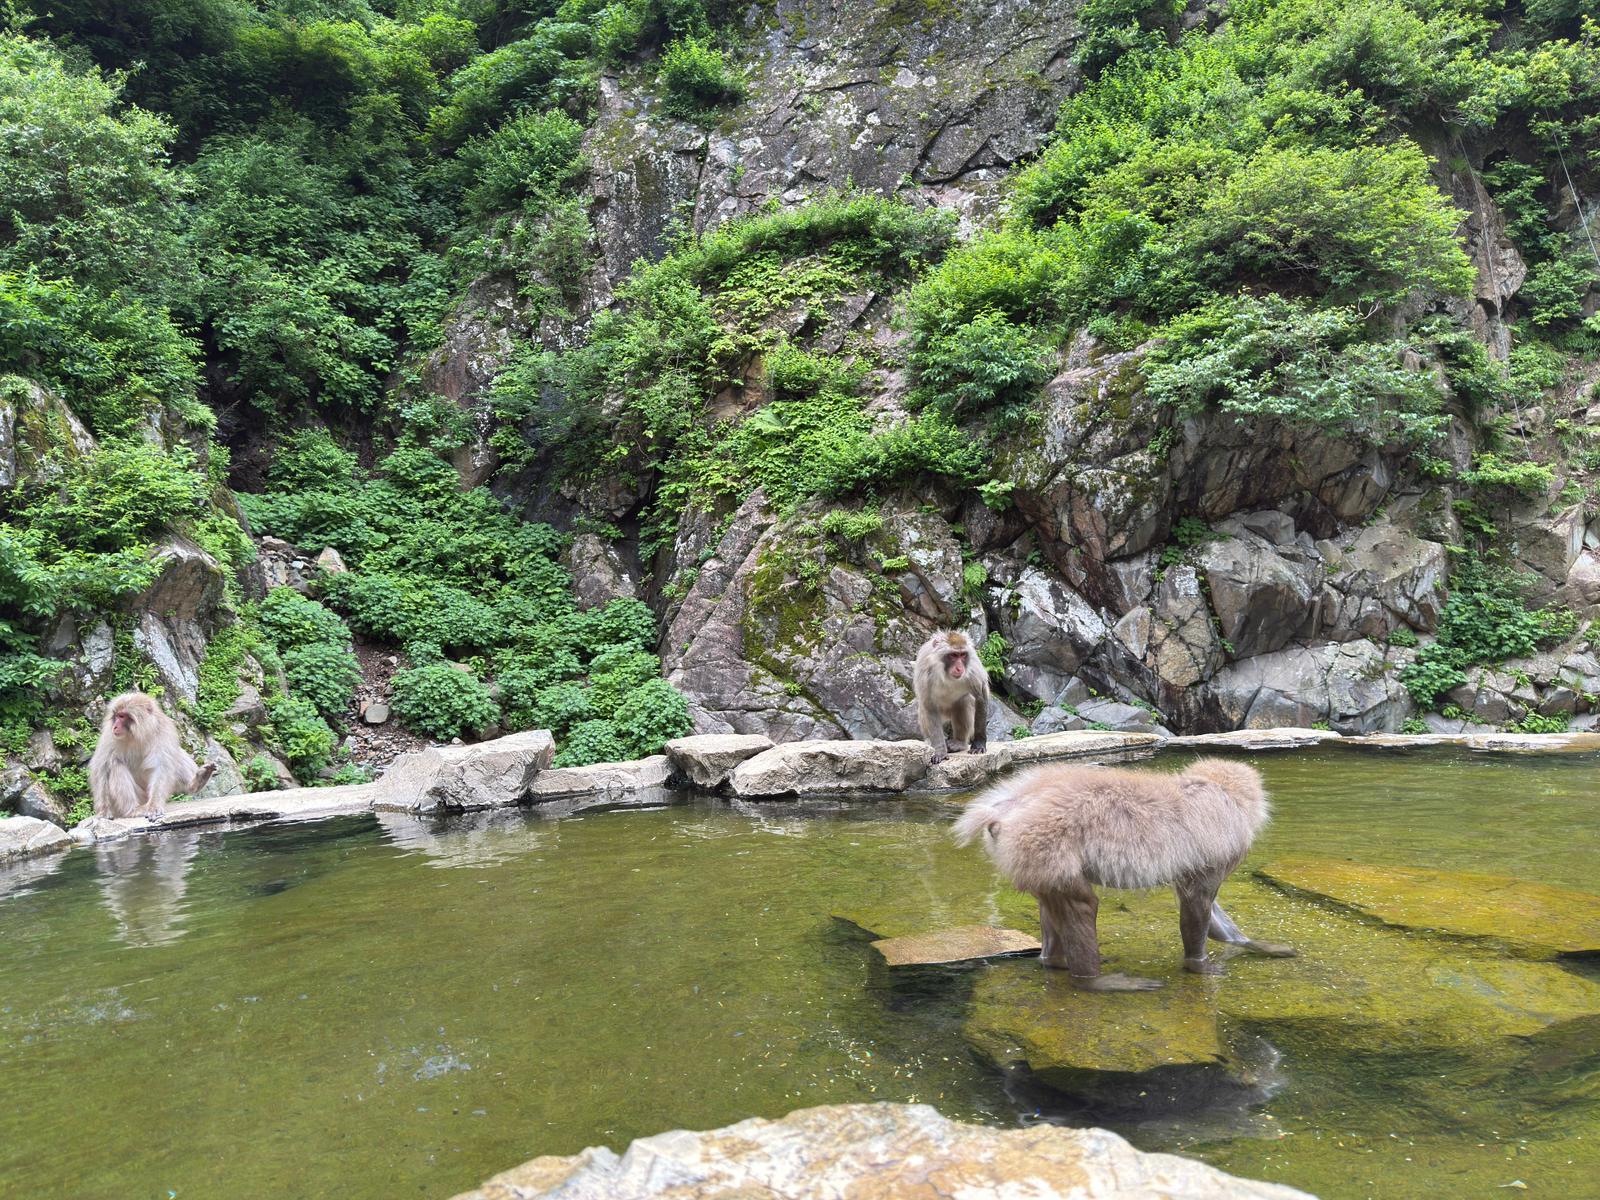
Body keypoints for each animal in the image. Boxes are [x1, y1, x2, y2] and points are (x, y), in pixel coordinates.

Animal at [913, 630, 990, 764]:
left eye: (963, 655)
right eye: (954, 655)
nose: (960, 668)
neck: (946, 674)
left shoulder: (973, 670)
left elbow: (981, 696)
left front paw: (979, 743)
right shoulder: (924, 672)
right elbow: (928, 705)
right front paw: (940, 751)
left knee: (963, 701)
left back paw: (959, 743)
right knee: (923, 709)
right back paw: (929, 741)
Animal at [953, 759, 1295, 991]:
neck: (1216, 789)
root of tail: (1004, 810)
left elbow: (1204, 907)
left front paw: (1249, 943)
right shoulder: (1221, 845)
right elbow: (1197, 903)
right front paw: (1198, 965)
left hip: (1030, 856)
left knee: (1052, 903)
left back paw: (1054, 961)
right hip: (1045, 844)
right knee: (1082, 904)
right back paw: (1094, 981)